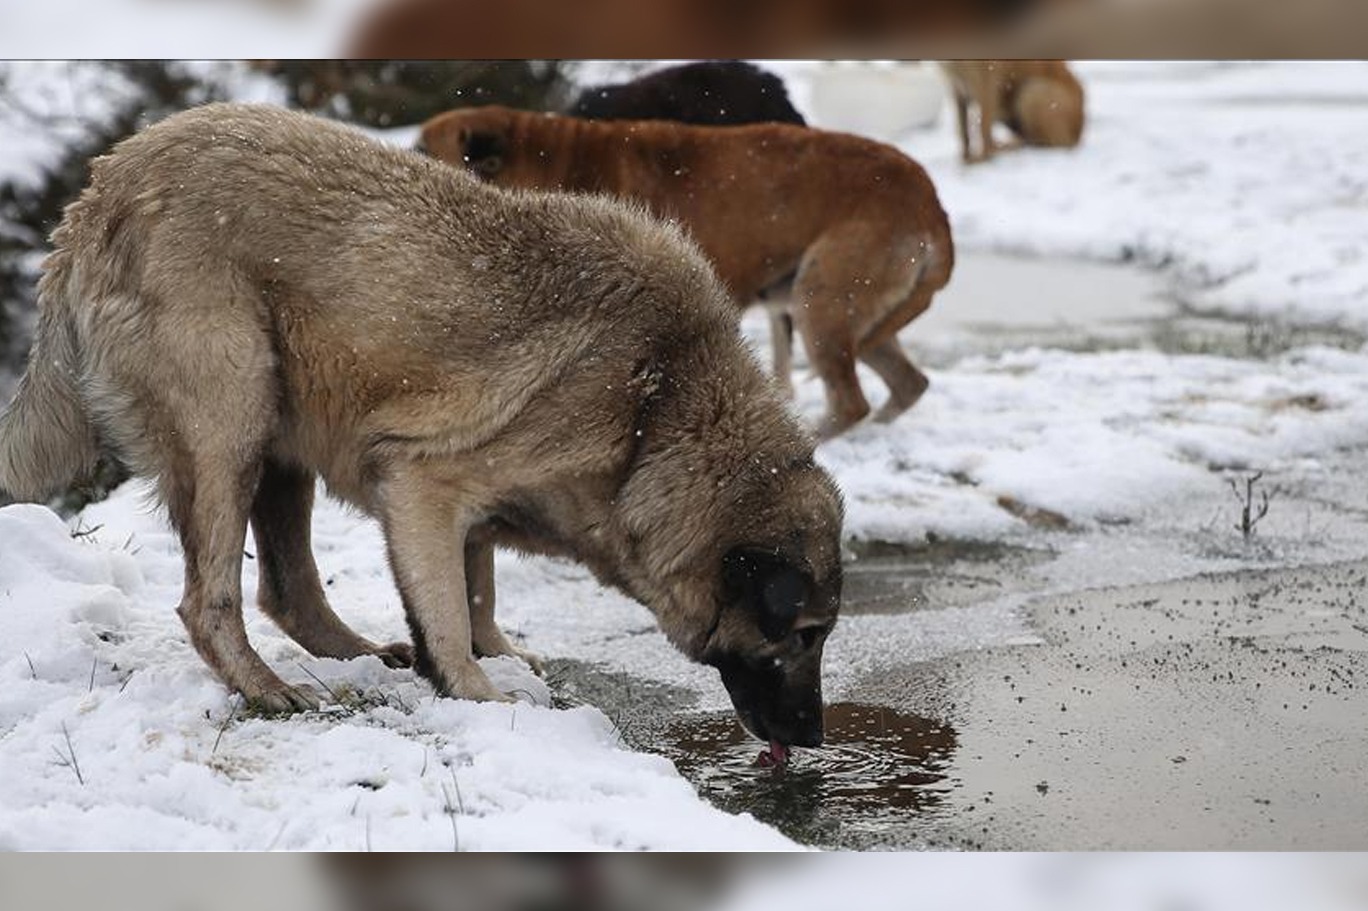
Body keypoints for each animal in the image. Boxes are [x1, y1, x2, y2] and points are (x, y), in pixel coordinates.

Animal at [0, 102, 842, 749]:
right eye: (803, 634)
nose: (814, 737)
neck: (659, 406)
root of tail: (97, 192)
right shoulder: (421, 483)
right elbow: (447, 611)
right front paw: (480, 692)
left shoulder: (465, 511)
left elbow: (479, 594)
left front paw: (498, 655)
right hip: (230, 424)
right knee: (209, 604)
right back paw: (270, 689)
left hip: (277, 442)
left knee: (287, 591)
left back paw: (361, 655)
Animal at [415, 108, 952, 437]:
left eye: (424, 153)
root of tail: (929, 201)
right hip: (853, 312)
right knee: (907, 385)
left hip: (821, 301)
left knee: (850, 401)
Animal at [935, 59, 1083, 163]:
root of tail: (1079, 132)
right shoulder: (957, 90)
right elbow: (963, 131)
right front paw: (964, 158)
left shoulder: (986, 85)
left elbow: (983, 127)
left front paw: (982, 159)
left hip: (1032, 91)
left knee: (1043, 143)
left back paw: (1004, 148)